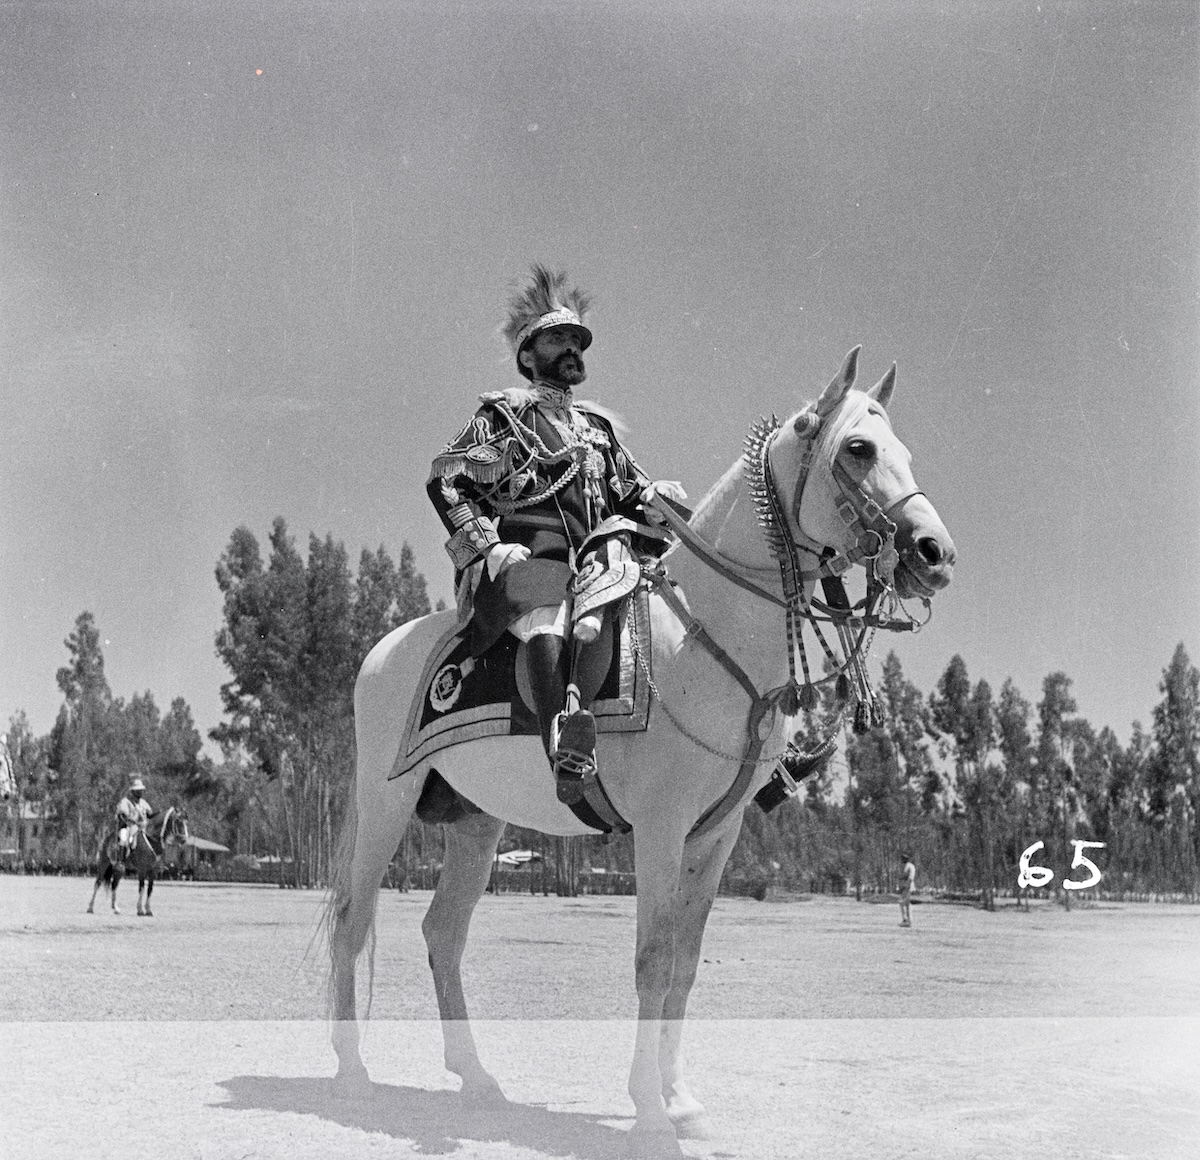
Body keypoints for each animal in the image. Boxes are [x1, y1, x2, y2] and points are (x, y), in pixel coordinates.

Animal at [326, 350, 955, 1156]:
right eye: (858, 448)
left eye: (902, 449)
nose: (935, 553)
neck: (706, 638)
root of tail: (382, 650)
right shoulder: (659, 830)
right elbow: (652, 960)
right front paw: (651, 1114)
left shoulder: (717, 835)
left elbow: (684, 965)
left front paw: (681, 1100)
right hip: (385, 800)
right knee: (353, 920)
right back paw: (351, 1074)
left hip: (476, 823)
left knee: (444, 932)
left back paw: (477, 1079)